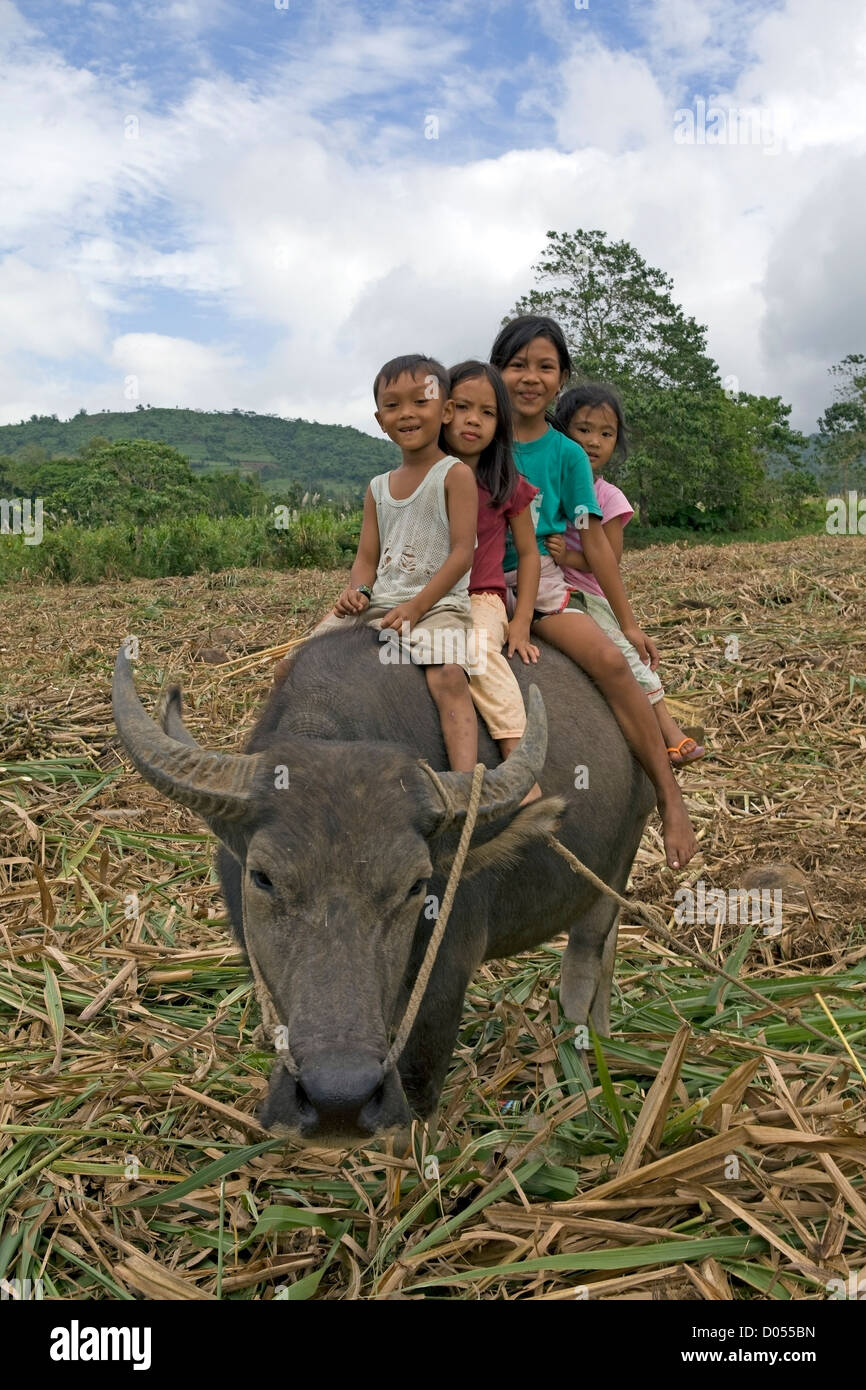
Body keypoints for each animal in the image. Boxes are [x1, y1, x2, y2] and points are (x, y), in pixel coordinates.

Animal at [111, 631, 653, 1139]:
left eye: (416, 885)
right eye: (262, 877)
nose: (338, 1098)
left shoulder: (444, 978)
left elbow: (416, 1091)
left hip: (621, 857)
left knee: (588, 956)